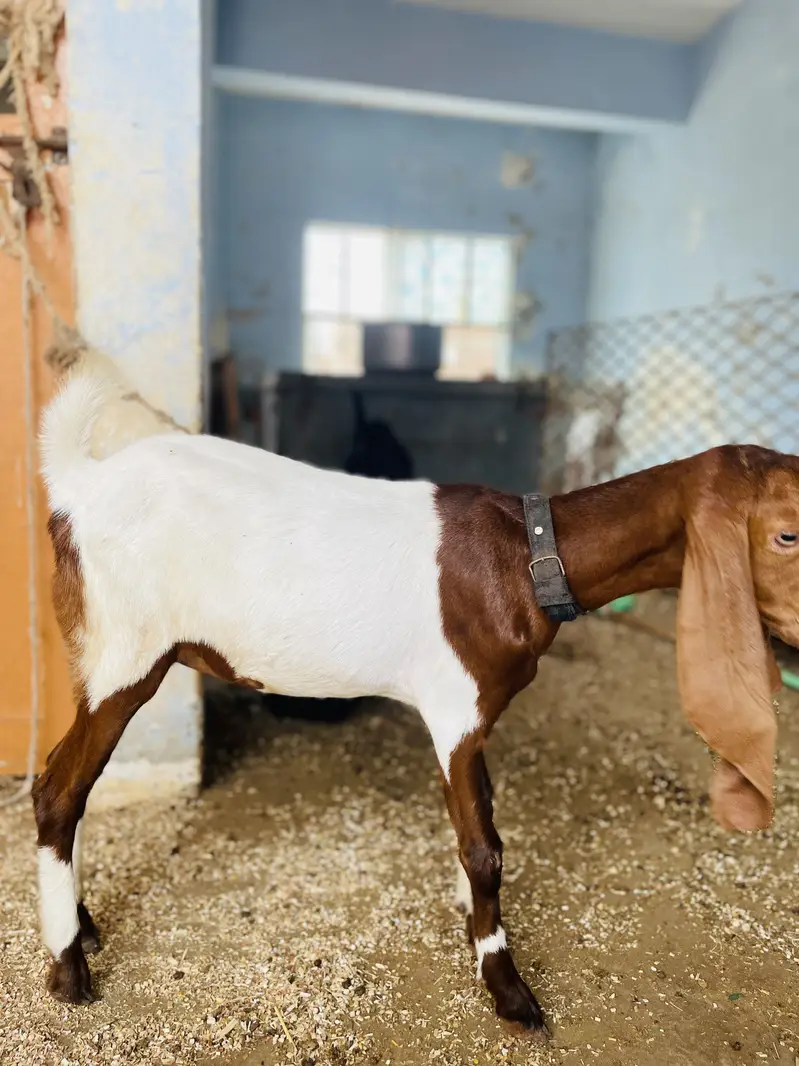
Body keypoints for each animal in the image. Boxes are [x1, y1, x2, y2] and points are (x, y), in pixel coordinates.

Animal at [33, 375, 798, 1036]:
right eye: (787, 532)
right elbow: (484, 849)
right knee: (58, 790)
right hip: (125, 655)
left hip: (97, 658)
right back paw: (68, 966)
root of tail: (81, 486)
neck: (526, 557)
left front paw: (473, 924)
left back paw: (83, 924)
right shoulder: (454, 707)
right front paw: (506, 985)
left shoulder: (474, 717)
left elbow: (479, 820)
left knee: (75, 784)